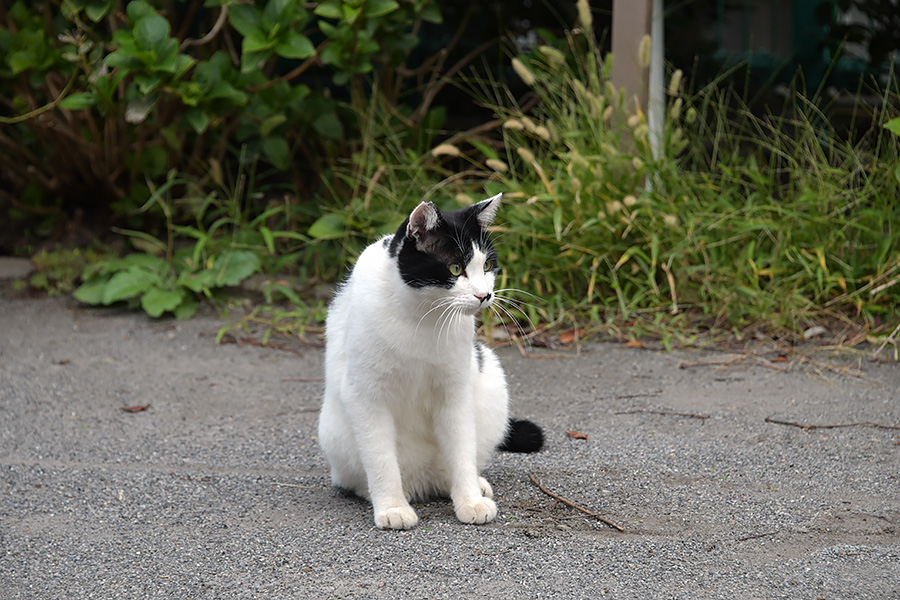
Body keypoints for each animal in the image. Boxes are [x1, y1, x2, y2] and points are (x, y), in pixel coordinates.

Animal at [316, 192, 540, 528]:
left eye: (487, 265)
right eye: (455, 268)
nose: (484, 295)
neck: (424, 316)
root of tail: (423, 481)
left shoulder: (455, 391)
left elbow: (461, 450)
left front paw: (470, 500)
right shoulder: (365, 395)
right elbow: (380, 459)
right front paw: (392, 507)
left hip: (490, 373)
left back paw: (470, 484)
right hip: (334, 433)